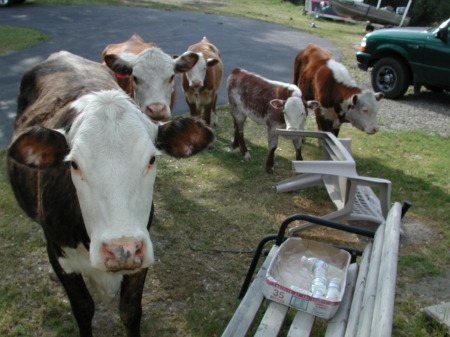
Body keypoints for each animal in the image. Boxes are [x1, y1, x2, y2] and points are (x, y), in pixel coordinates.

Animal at [7, 50, 214, 336]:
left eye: (152, 159)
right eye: (74, 164)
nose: (121, 250)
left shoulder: (140, 256)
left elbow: (130, 311)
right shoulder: (62, 259)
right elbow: (84, 309)